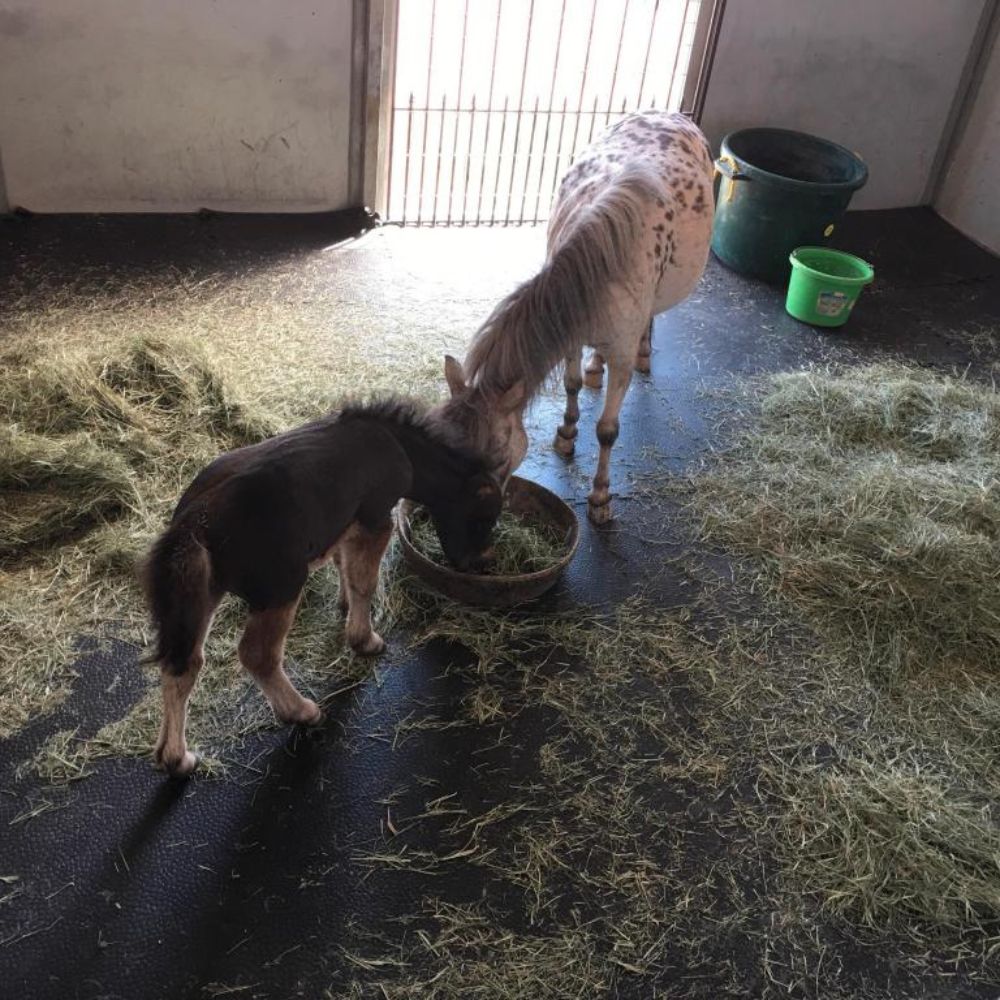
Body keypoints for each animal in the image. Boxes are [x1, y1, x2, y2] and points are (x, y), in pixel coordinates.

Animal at [142, 398, 502, 777]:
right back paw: (302, 712)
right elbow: (364, 582)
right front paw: (365, 640)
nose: (479, 565)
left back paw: (177, 758)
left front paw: (344, 607)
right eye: (483, 518)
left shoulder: (343, 523)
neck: (398, 445)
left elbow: (343, 564)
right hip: (280, 587)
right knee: (257, 654)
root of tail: (196, 523)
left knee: (184, 663)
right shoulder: (375, 517)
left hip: (199, 594)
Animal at [434, 110, 714, 523]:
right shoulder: (570, 336)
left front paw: (600, 497)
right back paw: (595, 367)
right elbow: (571, 384)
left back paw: (645, 352)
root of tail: (673, 115)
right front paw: (566, 432)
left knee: (649, 320)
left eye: (499, 457)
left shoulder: (621, 358)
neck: (601, 260)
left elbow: (608, 430)